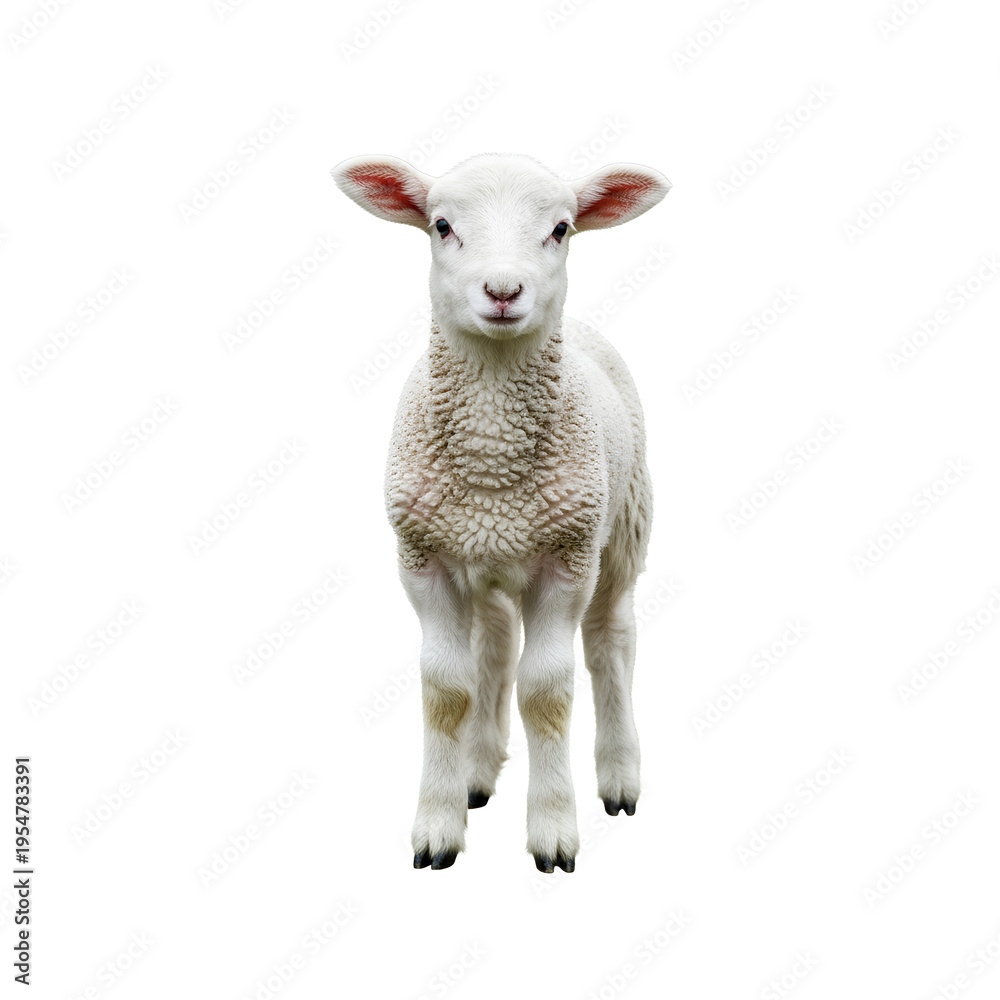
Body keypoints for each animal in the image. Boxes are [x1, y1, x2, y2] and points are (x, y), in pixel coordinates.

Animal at [332, 152, 670, 872]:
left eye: (562, 228)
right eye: (441, 224)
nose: (504, 290)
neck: (491, 461)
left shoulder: (568, 559)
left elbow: (545, 691)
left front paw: (553, 832)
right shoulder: (423, 558)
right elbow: (446, 688)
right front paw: (438, 825)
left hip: (623, 528)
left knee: (611, 643)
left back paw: (619, 776)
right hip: (488, 555)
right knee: (493, 647)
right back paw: (478, 772)